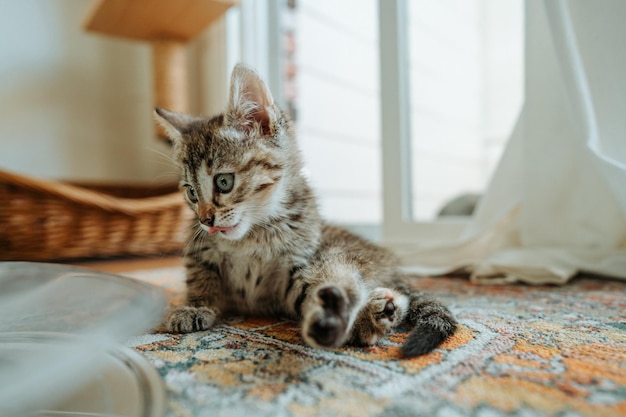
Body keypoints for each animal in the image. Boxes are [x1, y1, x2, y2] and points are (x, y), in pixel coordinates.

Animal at [154, 63, 456, 356]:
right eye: (191, 193)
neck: (252, 235)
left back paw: (368, 316)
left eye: (224, 182)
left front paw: (340, 317)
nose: (206, 220)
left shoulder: (296, 265)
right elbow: (201, 278)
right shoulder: (200, 253)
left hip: (335, 254)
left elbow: (309, 291)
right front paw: (195, 306)